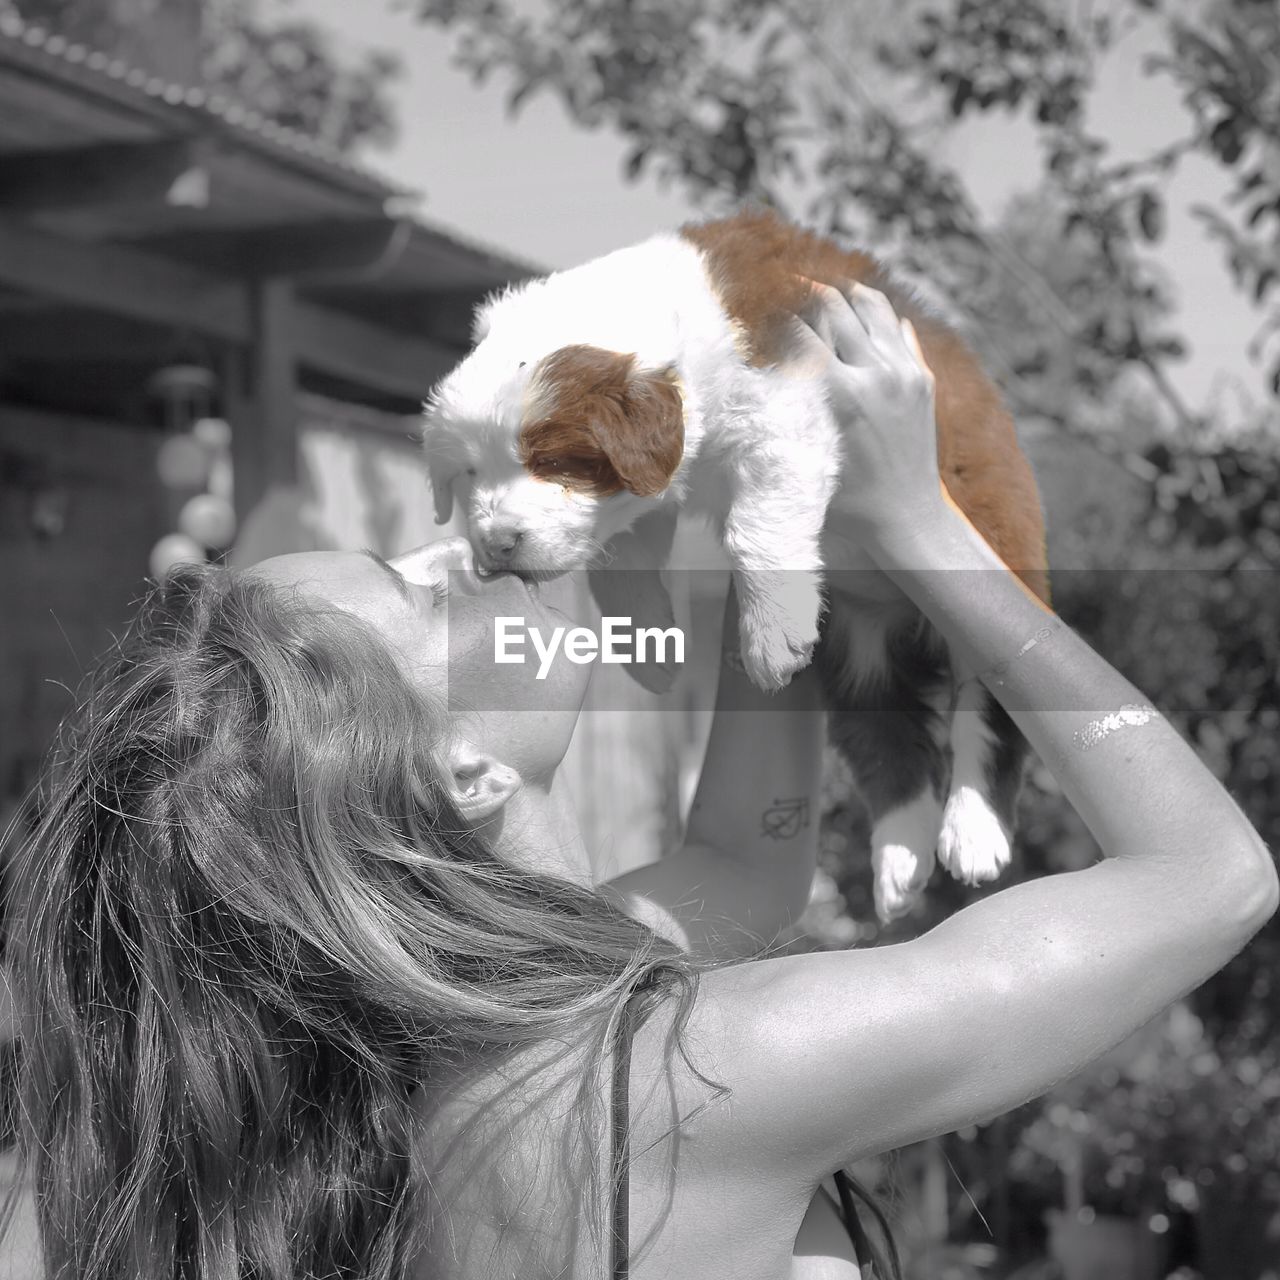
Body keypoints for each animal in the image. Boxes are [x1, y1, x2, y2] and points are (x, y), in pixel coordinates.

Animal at [424, 209, 1044, 921]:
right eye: (468, 474)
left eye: (550, 460)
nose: (495, 543)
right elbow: (619, 560)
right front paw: (651, 651)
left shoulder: (786, 410)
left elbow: (757, 523)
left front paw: (771, 639)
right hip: (856, 648)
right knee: (884, 735)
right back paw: (899, 862)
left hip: (998, 549)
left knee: (988, 710)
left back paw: (972, 832)